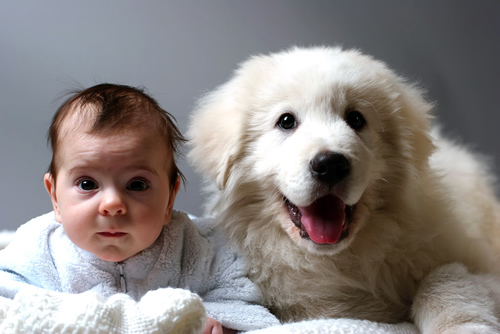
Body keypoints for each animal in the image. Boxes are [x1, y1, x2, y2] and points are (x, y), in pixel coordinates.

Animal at [188, 45, 500, 332]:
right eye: (286, 121)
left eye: (356, 119)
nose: (330, 165)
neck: (337, 260)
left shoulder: (475, 265)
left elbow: (445, 279)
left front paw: (461, 325)